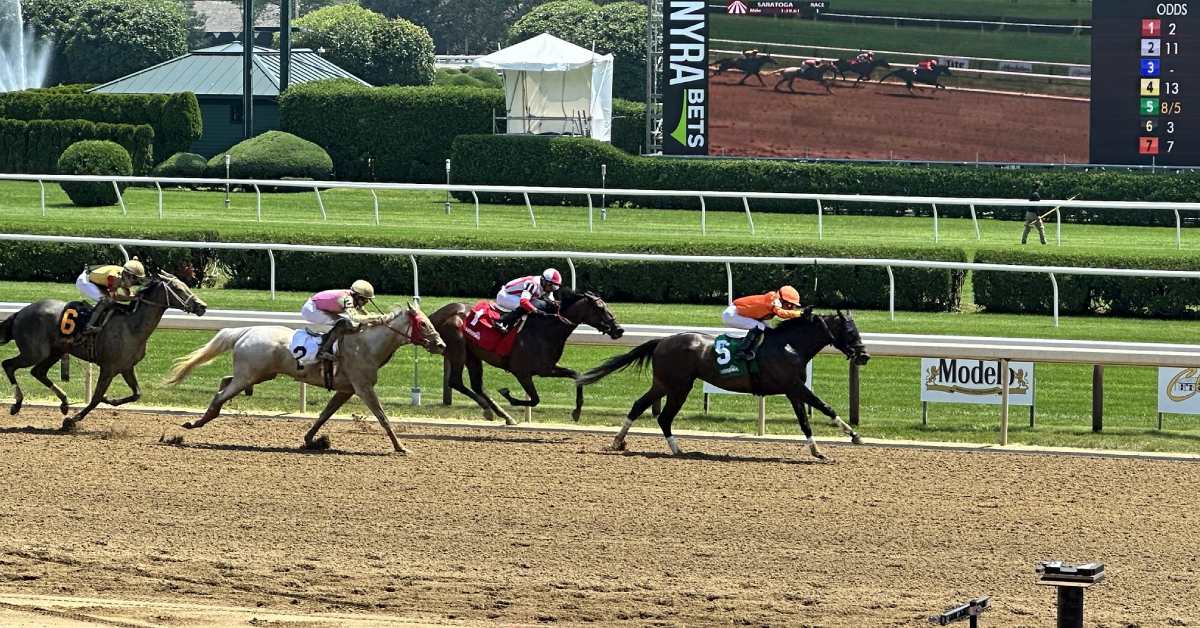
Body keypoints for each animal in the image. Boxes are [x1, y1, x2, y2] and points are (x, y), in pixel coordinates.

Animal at [1, 271, 206, 432]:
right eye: (178, 289)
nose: (202, 306)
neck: (132, 326)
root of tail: (20, 312)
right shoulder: (108, 368)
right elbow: (96, 398)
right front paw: (71, 421)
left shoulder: (126, 367)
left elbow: (136, 393)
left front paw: (111, 400)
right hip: (34, 352)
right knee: (9, 364)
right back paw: (17, 404)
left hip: (55, 352)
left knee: (38, 372)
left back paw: (64, 403)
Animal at [168, 303, 446, 453]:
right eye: (423, 324)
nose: (441, 345)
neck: (367, 344)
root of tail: (245, 331)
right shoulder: (363, 387)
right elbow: (382, 417)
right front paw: (401, 447)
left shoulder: (346, 389)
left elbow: (324, 414)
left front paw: (310, 439)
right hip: (250, 374)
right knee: (220, 395)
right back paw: (196, 423)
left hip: (257, 374)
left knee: (225, 382)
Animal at [432, 290, 624, 427]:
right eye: (600, 308)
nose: (619, 329)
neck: (545, 329)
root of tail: (440, 313)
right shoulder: (522, 372)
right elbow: (535, 399)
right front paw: (507, 393)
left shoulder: (547, 368)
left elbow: (577, 375)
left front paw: (576, 412)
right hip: (458, 349)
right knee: (455, 381)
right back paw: (490, 410)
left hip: (473, 354)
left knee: (477, 385)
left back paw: (503, 415)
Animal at [576, 312, 868, 458]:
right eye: (850, 332)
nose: (864, 355)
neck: (790, 345)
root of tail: (662, 341)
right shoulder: (793, 387)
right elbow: (825, 407)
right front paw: (854, 435)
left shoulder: (792, 390)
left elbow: (805, 421)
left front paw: (818, 450)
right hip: (678, 386)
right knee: (662, 416)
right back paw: (672, 448)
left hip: (666, 384)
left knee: (644, 408)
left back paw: (626, 442)